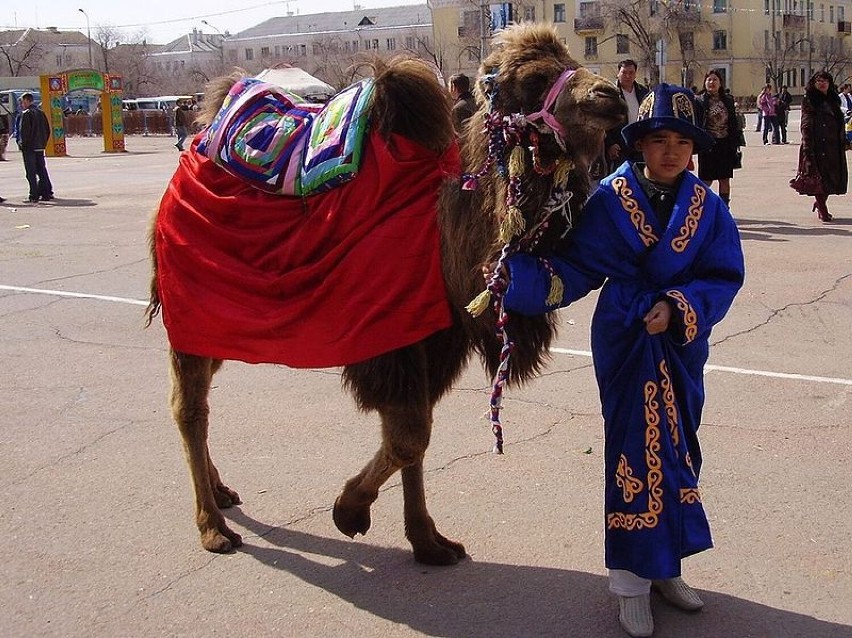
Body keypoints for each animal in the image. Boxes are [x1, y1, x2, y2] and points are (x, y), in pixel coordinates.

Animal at [146, 22, 624, 568]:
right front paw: (349, 510)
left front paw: (428, 540)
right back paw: (212, 527)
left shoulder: (432, 337)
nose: (611, 97)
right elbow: (410, 435)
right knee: (188, 408)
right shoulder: (390, 338)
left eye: (573, 59)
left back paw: (222, 493)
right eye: (535, 78)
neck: (441, 234)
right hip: (187, 310)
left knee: (200, 399)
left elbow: (416, 436)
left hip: (215, 322)